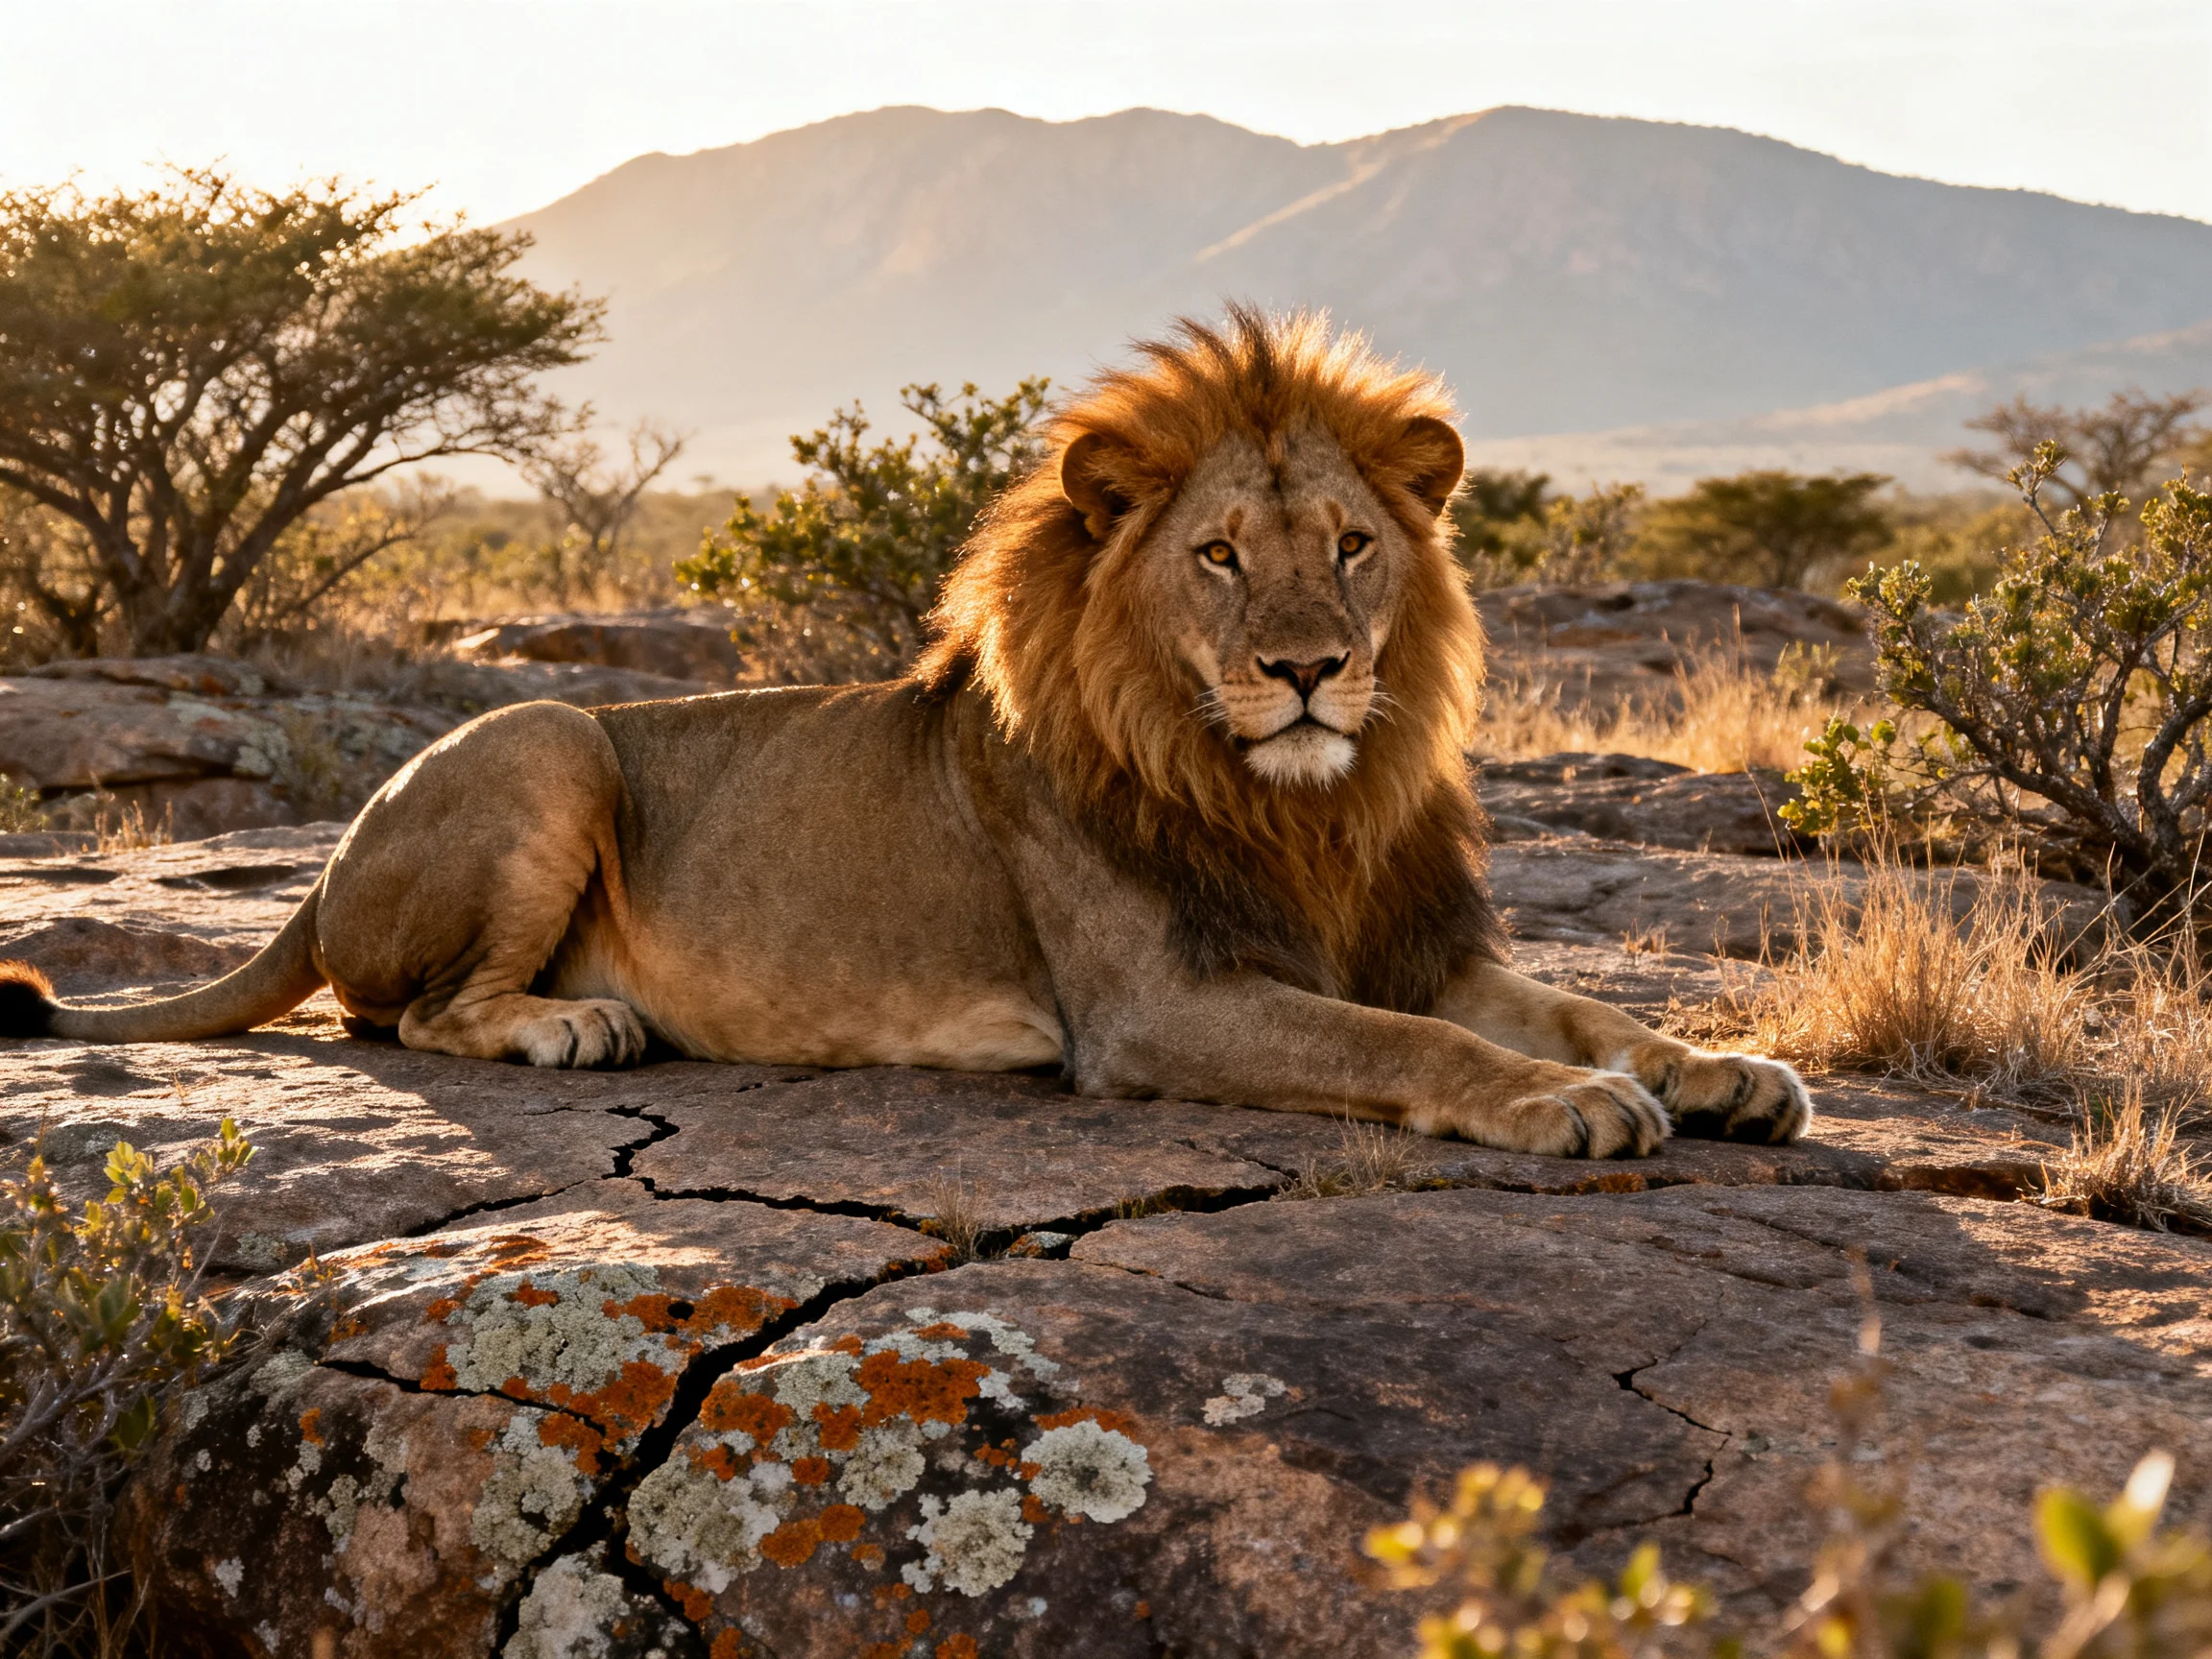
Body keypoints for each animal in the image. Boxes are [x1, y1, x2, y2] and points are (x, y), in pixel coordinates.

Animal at [0, 308, 1808, 1157]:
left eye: (1355, 547)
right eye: (1220, 556)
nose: (1308, 668)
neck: (1300, 800)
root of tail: (323, 869)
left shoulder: (1415, 938)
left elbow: (1585, 1007)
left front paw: (1721, 1067)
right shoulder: (1155, 1006)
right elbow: (1412, 1051)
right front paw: (1565, 1104)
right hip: (547, 734)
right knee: (411, 1014)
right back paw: (572, 1026)